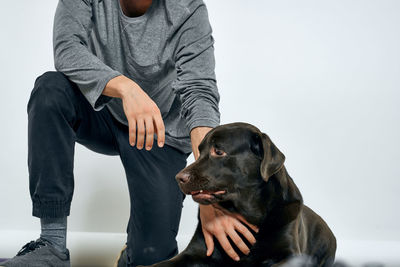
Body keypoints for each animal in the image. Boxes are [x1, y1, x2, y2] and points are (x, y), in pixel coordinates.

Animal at [139, 123, 336, 267]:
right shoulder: (195, 252)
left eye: (218, 151)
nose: (178, 178)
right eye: (200, 151)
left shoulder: (291, 255)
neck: (250, 214)